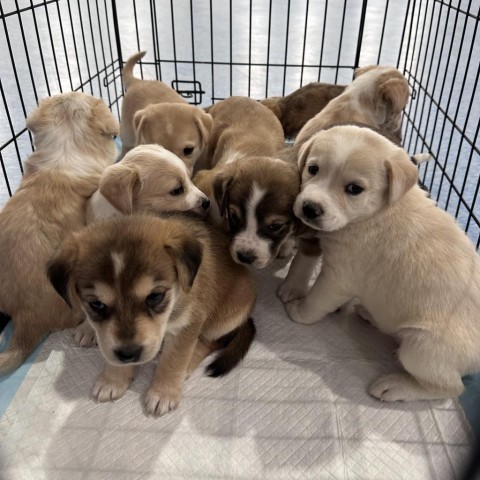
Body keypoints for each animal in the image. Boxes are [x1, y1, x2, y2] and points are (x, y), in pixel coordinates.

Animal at [48, 215, 256, 416]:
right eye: (96, 304)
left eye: (155, 296)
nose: (129, 354)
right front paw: (113, 379)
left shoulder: (186, 324)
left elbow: (174, 359)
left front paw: (163, 393)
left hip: (223, 323)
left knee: (211, 343)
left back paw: (188, 365)